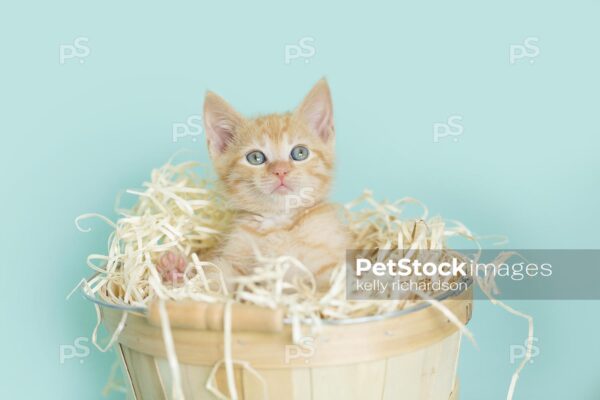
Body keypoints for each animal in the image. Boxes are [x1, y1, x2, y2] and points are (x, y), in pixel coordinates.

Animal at [204, 79, 350, 290]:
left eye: (300, 153)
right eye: (255, 157)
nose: (281, 171)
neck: (278, 222)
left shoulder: (329, 260)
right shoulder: (231, 260)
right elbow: (216, 279)